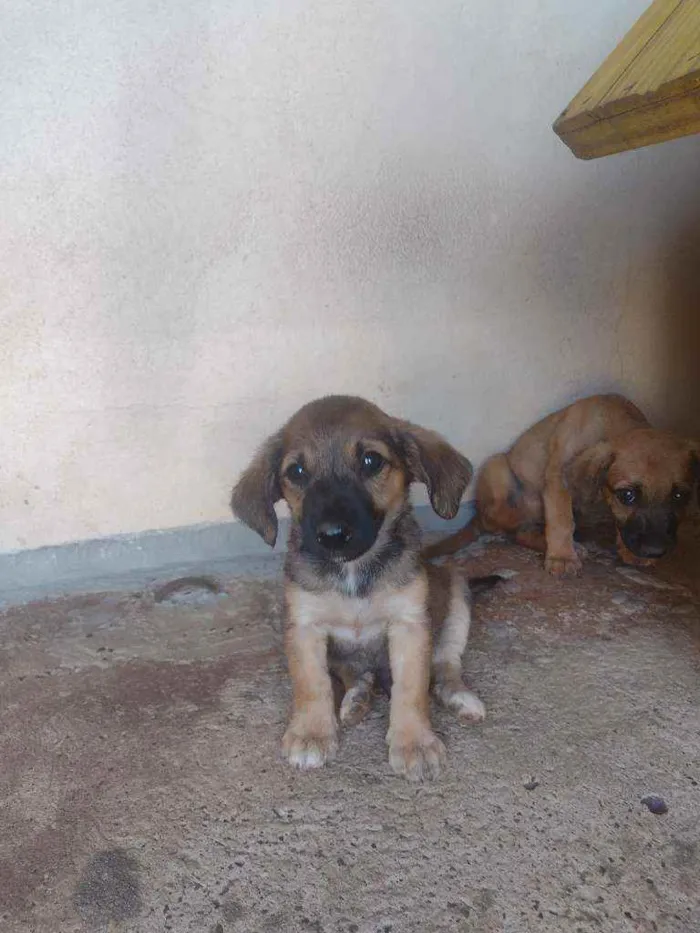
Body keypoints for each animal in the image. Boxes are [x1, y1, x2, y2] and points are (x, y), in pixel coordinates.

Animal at [232, 394, 490, 780]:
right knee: (352, 673)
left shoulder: (410, 624)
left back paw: (459, 696)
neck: (353, 570)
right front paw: (312, 732)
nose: (332, 535)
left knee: (446, 665)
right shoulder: (304, 625)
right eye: (296, 472)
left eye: (371, 461)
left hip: (457, 592)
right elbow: (312, 684)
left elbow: (412, 687)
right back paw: (357, 697)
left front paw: (414, 742)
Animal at [424, 394, 696, 576]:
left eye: (680, 496)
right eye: (627, 495)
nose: (654, 550)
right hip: (498, 468)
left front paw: (629, 552)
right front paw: (562, 558)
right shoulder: (557, 477)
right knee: (511, 527)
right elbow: (561, 519)